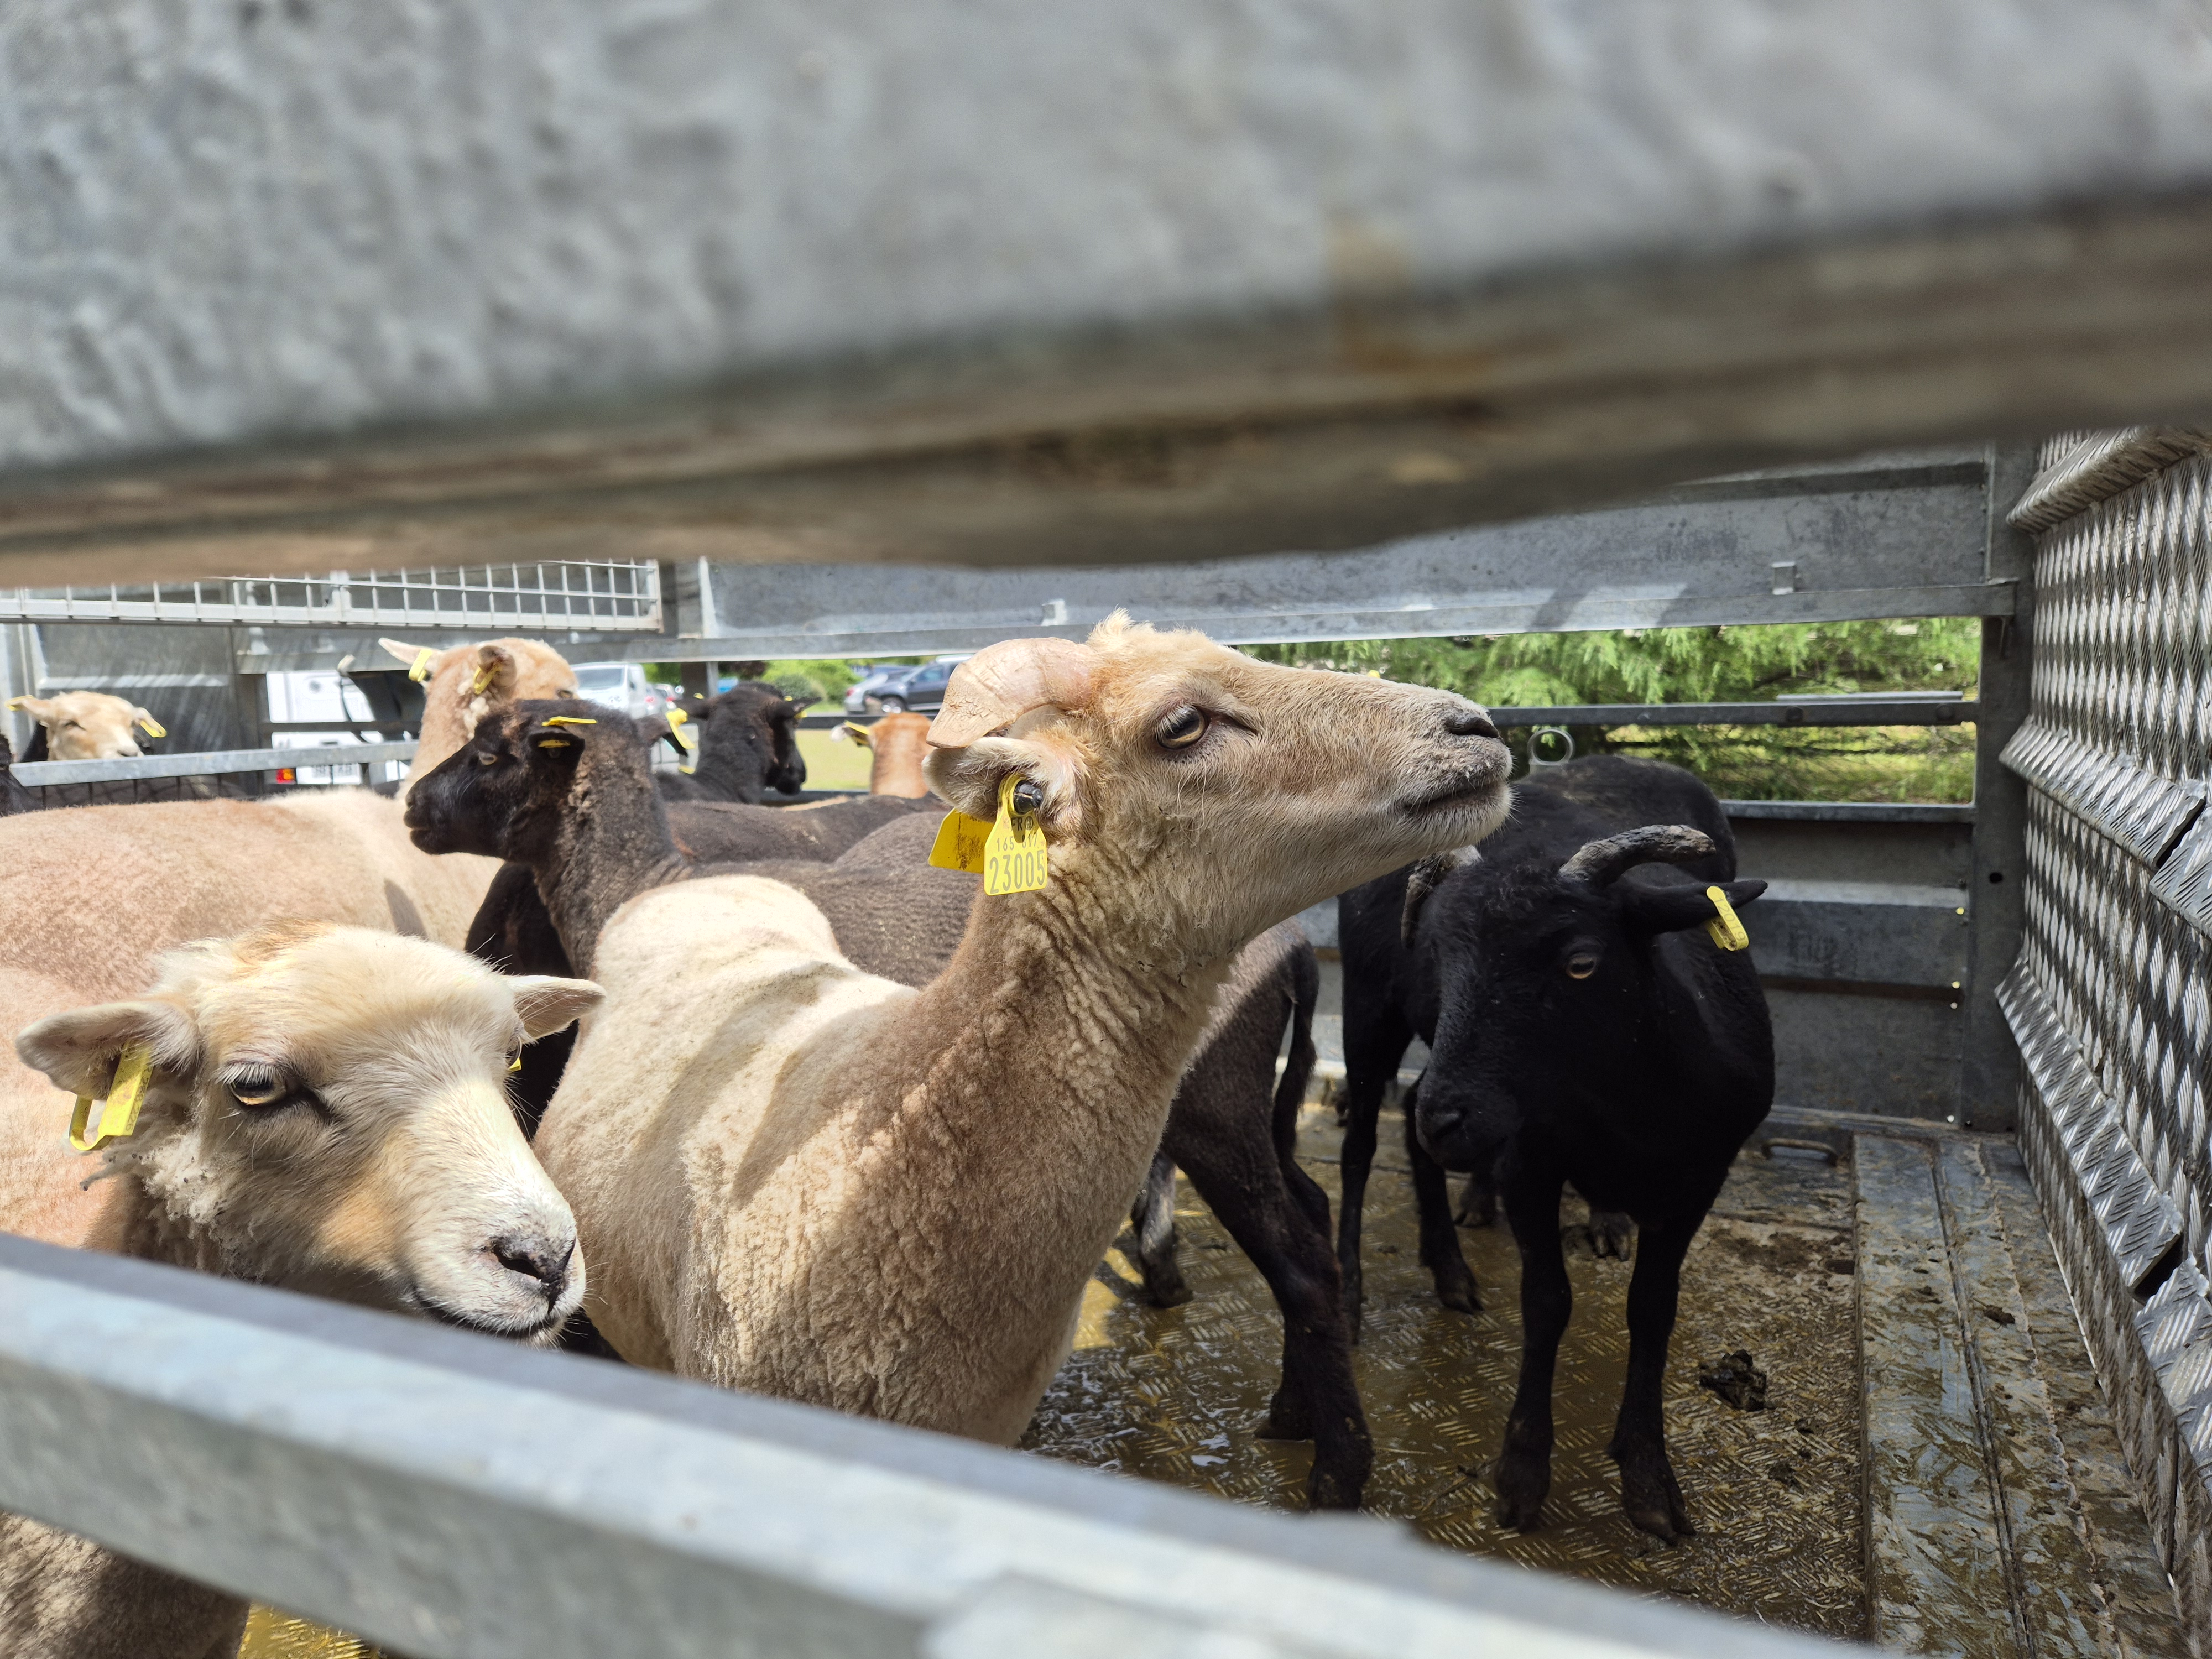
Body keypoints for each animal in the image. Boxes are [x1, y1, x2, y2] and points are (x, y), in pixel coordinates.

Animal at [1336, 757, 1770, 1548]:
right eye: (1438, 956)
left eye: (1580, 963)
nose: (1453, 1118)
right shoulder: (1528, 1165)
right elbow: (1546, 1304)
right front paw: (1522, 1476)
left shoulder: (1699, 1179)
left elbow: (1652, 1310)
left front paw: (1648, 1477)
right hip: (1371, 1008)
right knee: (1362, 1144)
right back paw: (1352, 1291)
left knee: (1405, 1117)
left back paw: (1452, 1264)